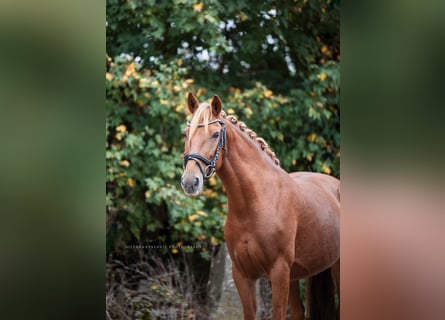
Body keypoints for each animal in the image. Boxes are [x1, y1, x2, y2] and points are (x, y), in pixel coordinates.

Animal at [180, 93, 340, 320]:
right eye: (186, 134)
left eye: (215, 134)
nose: (190, 182)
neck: (255, 204)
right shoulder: (242, 275)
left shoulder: (279, 272)